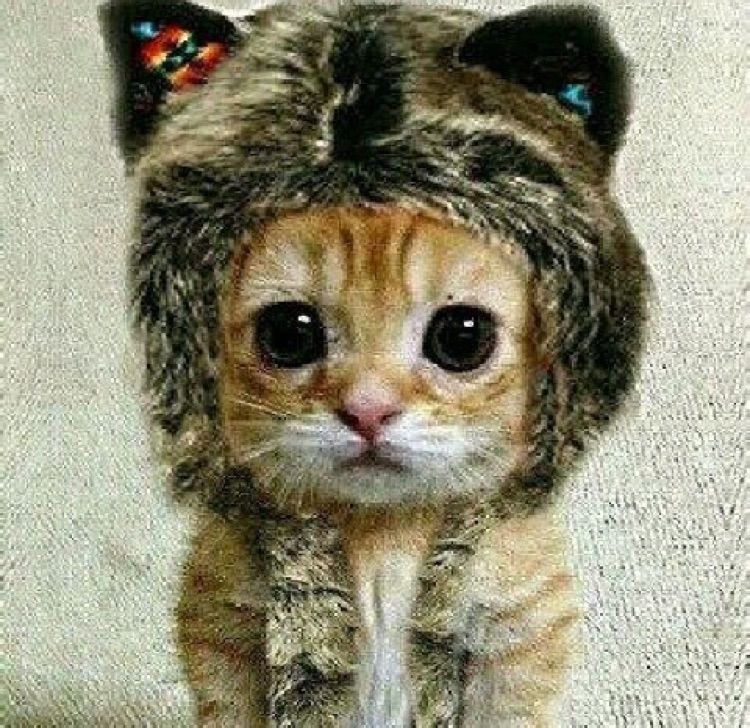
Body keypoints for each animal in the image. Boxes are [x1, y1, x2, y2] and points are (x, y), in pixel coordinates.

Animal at [101, 2, 648, 726]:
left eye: (462, 337)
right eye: (289, 333)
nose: (367, 410)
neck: (381, 544)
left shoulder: (519, 641)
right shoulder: (226, 642)